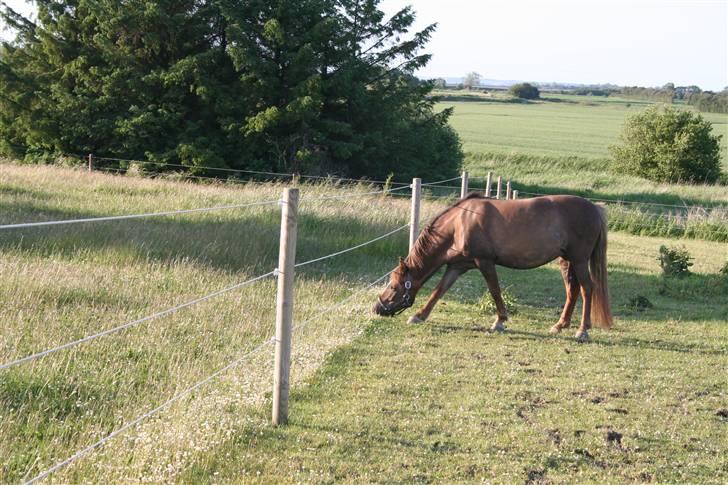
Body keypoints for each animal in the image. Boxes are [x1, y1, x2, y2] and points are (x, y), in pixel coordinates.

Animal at [372, 193, 612, 340]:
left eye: (393, 287)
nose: (377, 308)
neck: (459, 223)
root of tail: (594, 208)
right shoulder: (457, 266)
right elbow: (439, 291)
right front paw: (419, 316)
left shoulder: (484, 262)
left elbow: (494, 290)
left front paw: (499, 321)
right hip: (566, 261)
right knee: (572, 290)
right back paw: (560, 325)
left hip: (579, 260)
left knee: (587, 289)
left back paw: (582, 331)